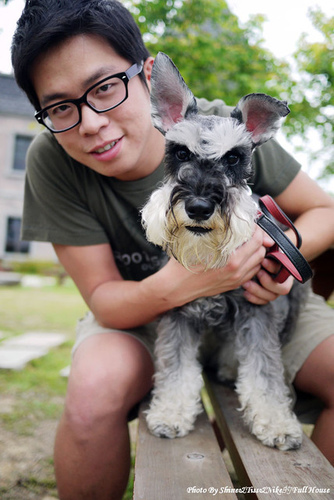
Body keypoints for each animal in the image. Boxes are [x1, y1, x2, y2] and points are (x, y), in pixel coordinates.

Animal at [141, 52, 306, 452]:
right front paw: (170, 414)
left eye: (234, 158)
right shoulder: (178, 312)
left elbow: (264, 370)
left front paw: (277, 424)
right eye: (180, 152)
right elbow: (176, 367)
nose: (199, 207)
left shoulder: (258, 310)